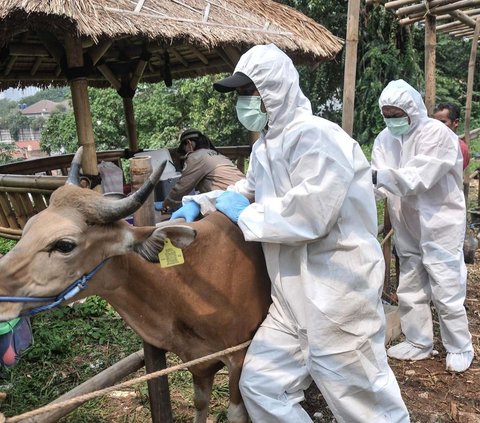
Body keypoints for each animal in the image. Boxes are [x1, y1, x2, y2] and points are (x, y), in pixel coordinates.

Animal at [0, 150, 272, 423]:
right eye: (28, 228)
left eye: (64, 245)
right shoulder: (198, 360)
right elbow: (200, 402)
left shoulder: (239, 355)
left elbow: (236, 413)